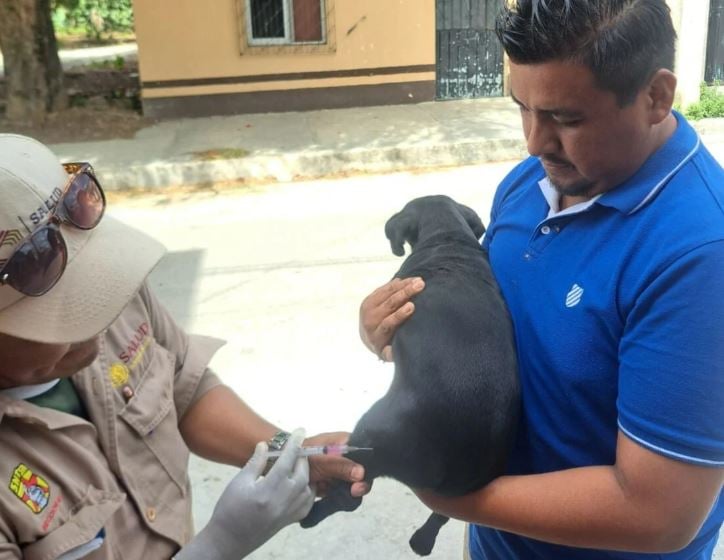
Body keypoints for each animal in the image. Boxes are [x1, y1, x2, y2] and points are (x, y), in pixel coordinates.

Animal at [302, 197, 520, 556]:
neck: (448, 237)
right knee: (443, 514)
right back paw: (422, 540)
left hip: (368, 436)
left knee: (350, 498)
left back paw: (309, 513)